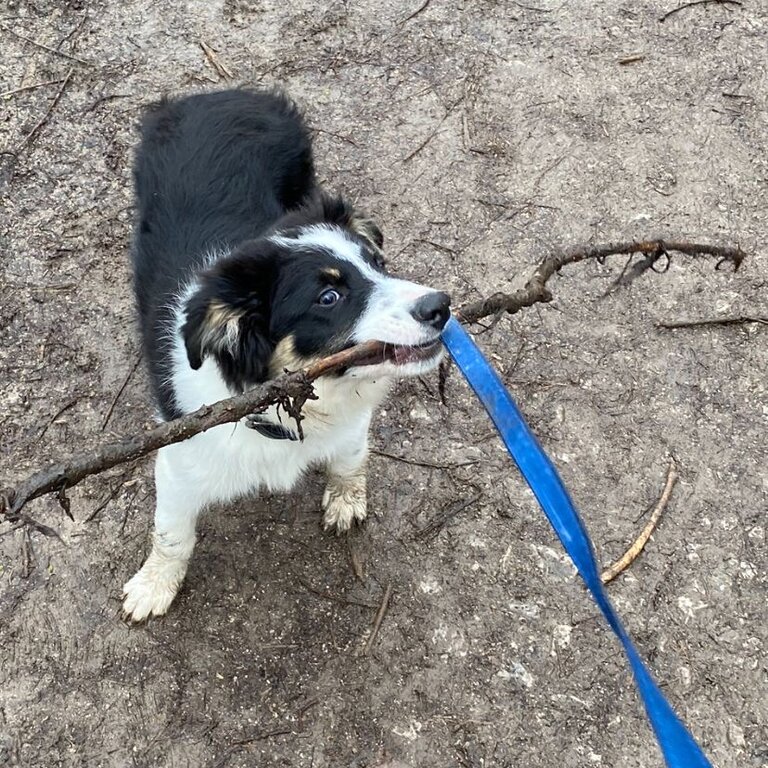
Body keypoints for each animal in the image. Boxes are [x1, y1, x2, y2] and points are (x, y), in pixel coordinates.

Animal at [123, 90, 452, 620]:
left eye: (378, 264)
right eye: (328, 297)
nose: (441, 306)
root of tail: (222, 94)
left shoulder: (350, 418)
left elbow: (350, 456)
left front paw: (346, 499)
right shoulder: (178, 456)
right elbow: (171, 533)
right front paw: (153, 587)